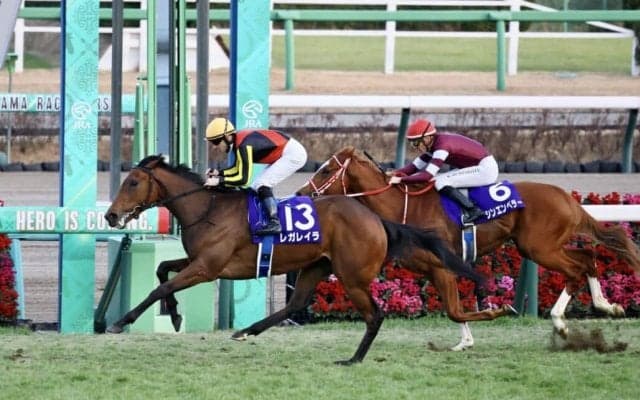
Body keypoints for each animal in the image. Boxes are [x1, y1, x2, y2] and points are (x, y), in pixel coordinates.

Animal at [104, 154, 482, 365]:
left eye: (133, 182)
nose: (110, 215)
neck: (207, 209)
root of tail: (377, 219)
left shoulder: (208, 267)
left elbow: (158, 288)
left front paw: (121, 322)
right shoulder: (198, 261)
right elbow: (161, 271)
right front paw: (175, 315)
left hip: (352, 276)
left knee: (375, 316)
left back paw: (353, 359)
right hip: (316, 266)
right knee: (295, 303)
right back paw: (247, 331)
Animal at [298, 146, 640, 350]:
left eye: (326, 170)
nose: (302, 193)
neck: (404, 206)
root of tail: (566, 197)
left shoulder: (440, 266)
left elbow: (453, 310)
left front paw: (497, 311)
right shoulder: (435, 269)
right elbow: (456, 310)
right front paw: (465, 342)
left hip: (539, 248)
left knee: (577, 268)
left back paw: (561, 323)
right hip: (545, 246)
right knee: (589, 256)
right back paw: (608, 305)